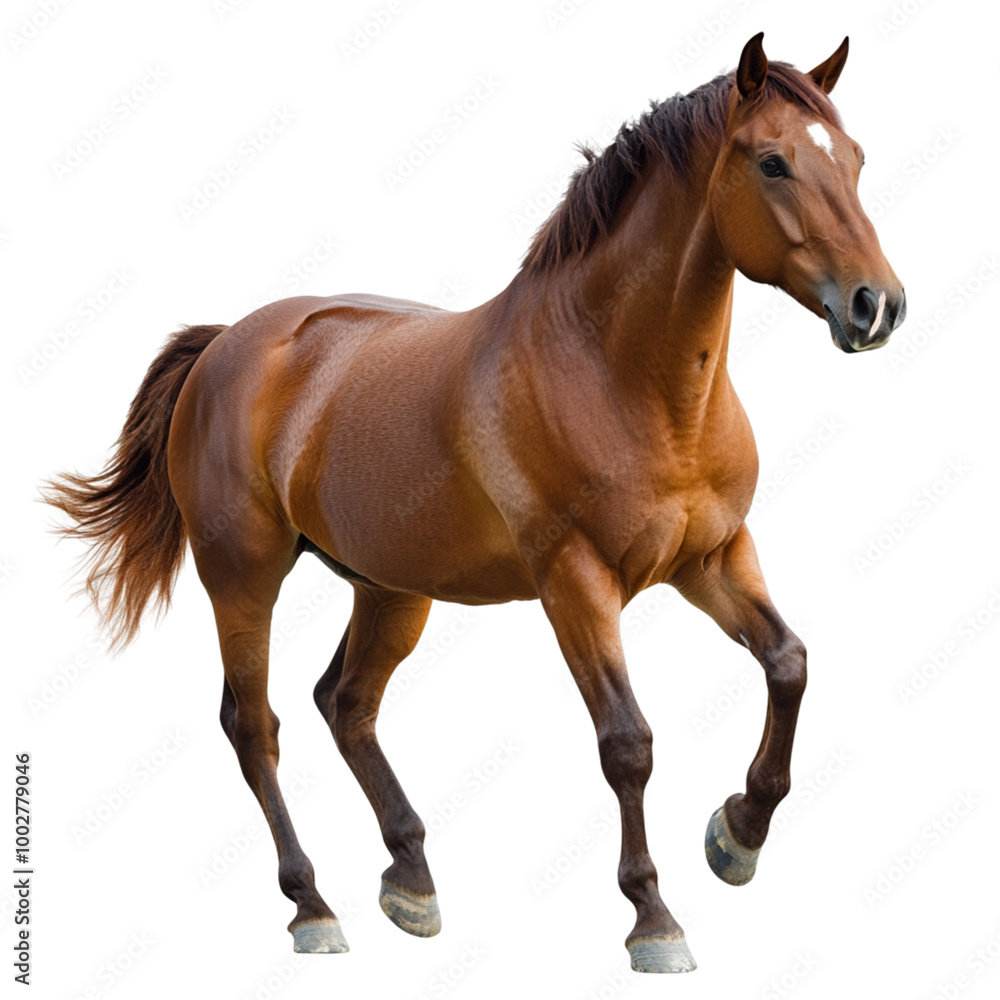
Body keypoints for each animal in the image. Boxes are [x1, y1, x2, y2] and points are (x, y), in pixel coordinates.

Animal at [44, 33, 905, 973]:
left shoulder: (714, 557)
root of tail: (225, 343)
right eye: (773, 161)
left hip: (391, 589)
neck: (618, 373)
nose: (878, 306)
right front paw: (654, 918)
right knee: (254, 726)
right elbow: (628, 744)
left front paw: (736, 836)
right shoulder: (575, 583)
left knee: (345, 703)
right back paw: (313, 906)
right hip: (243, 578)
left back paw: (412, 878)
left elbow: (788, 663)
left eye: (855, 158)